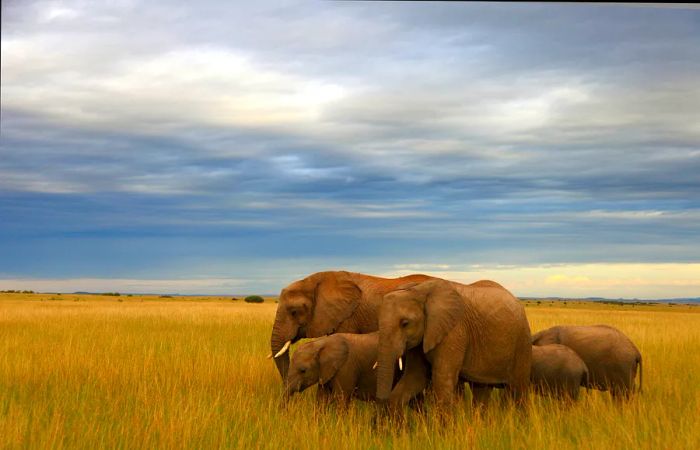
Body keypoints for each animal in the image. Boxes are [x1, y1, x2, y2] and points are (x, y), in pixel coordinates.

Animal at [284, 330, 426, 408]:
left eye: (303, 370)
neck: (322, 343)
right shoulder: (326, 372)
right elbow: (322, 399)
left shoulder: (346, 367)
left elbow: (341, 399)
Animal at [378, 278, 532, 412]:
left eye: (405, 323)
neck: (418, 289)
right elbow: (415, 377)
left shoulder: (454, 331)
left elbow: (442, 381)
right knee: (482, 390)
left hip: (522, 340)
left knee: (518, 390)